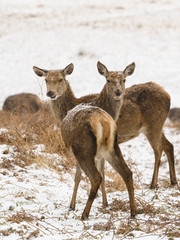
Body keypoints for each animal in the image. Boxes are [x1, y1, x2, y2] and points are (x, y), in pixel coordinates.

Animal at [33, 62, 136, 219]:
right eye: (46, 80)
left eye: (61, 79)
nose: (50, 93)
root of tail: (103, 122)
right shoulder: (99, 154)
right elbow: (102, 173)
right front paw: (105, 203)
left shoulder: (76, 151)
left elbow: (78, 176)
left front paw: (72, 206)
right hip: (112, 147)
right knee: (127, 173)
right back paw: (134, 212)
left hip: (83, 149)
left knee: (96, 177)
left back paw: (84, 214)